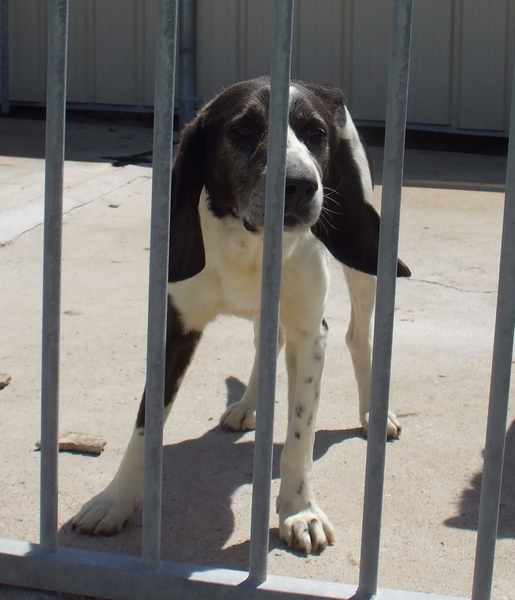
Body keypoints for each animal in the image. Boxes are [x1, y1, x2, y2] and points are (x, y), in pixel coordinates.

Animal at [72, 78, 412, 552]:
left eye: (316, 134)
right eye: (242, 130)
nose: (300, 185)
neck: (249, 245)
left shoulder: (312, 333)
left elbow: (300, 435)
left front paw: (299, 511)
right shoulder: (174, 328)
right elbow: (143, 427)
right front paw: (115, 500)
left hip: (364, 266)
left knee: (357, 339)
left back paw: (370, 415)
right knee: (266, 347)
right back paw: (248, 405)